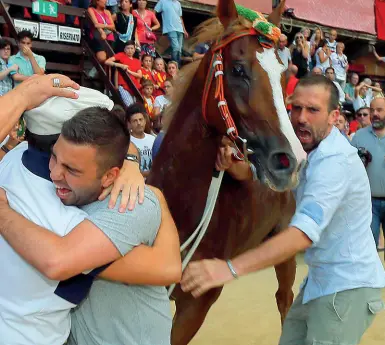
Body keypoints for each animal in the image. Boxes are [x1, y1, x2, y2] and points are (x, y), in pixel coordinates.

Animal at [147, 1, 306, 342]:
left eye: (284, 75)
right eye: (238, 70)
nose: (289, 160)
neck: (179, 208)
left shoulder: (195, 305)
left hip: (285, 249)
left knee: (284, 299)